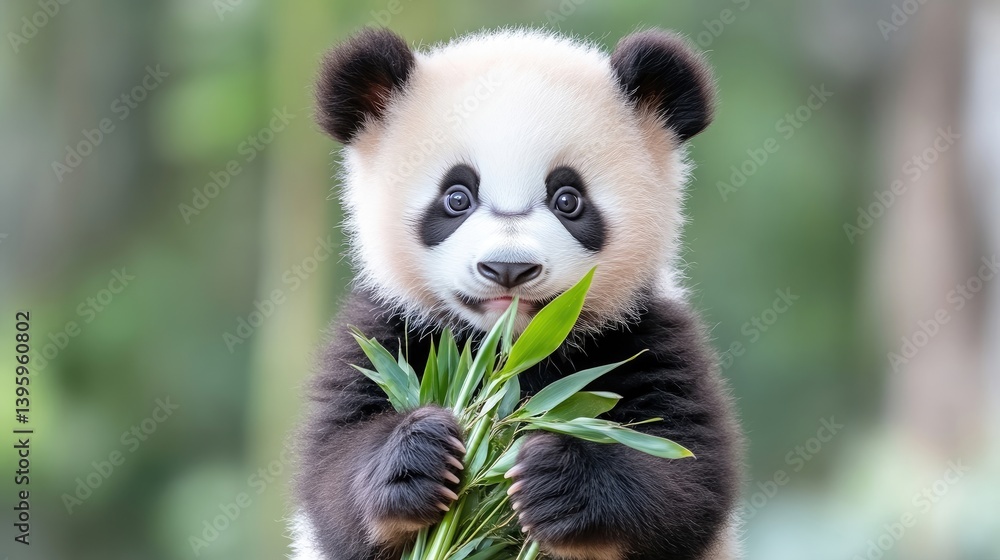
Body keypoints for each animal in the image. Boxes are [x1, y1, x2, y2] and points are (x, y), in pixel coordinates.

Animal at [292, 27, 742, 560]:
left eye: (568, 199)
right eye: (457, 197)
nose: (509, 268)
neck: (511, 348)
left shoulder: (645, 333)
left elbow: (687, 474)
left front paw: (559, 481)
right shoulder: (386, 330)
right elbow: (331, 470)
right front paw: (420, 455)